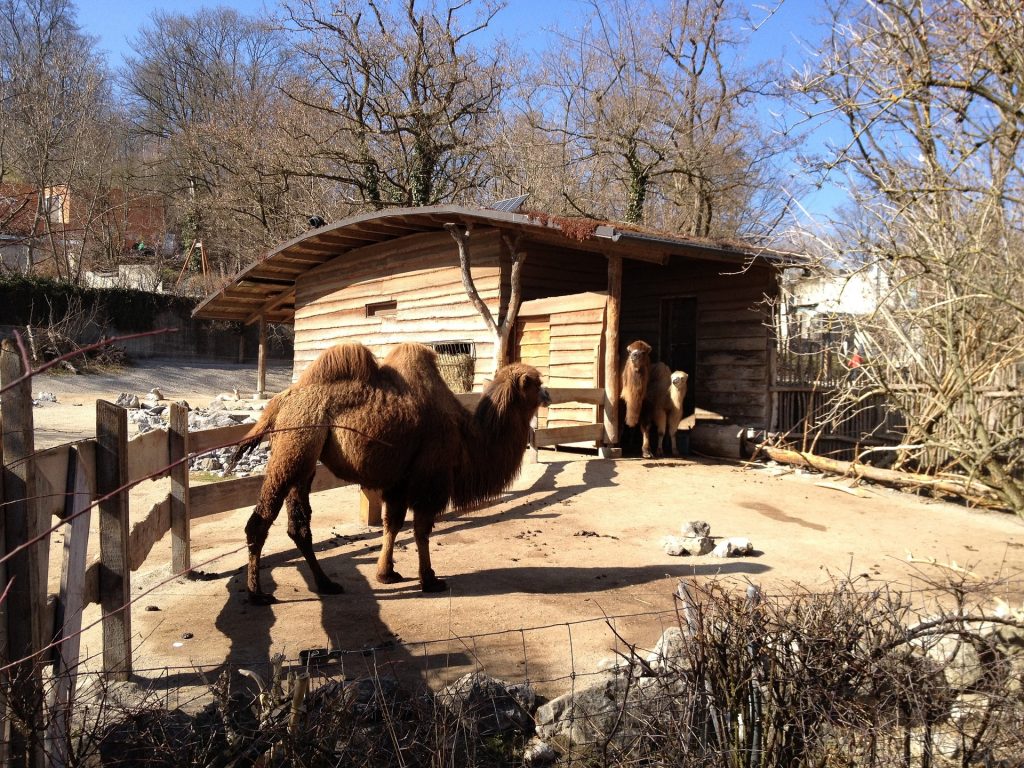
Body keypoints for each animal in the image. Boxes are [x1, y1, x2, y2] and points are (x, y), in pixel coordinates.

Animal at [228, 344, 548, 606]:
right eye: (535, 383)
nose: (548, 394)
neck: (466, 435)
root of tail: (278, 403)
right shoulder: (429, 478)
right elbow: (421, 529)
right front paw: (430, 579)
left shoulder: (400, 481)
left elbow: (392, 523)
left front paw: (386, 573)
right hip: (295, 445)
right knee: (259, 522)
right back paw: (257, 593)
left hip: (303, 456)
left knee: (299, 525)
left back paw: (326, 583)